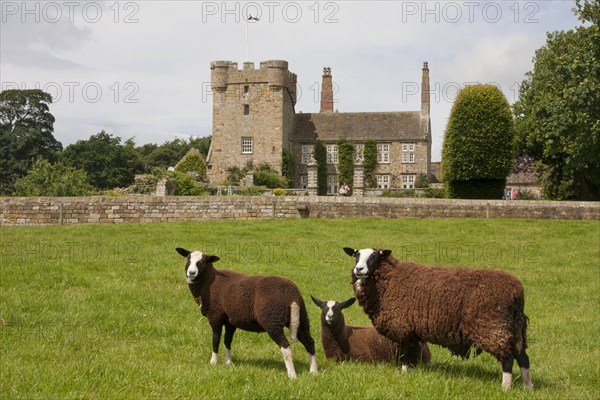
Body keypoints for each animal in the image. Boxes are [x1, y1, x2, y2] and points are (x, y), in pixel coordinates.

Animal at [176, 247, 318, 378]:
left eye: (203, 261)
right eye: (188, 258)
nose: (191, 272)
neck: (209, 282)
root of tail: (292, 295)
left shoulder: (215, 316)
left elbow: (215, 339)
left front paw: (213, 362)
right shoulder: (230, 321)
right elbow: (228, 340)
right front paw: (228, 362)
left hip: (273, 320)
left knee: (286, 347)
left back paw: (292, 375)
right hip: (302, 319)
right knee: (310, 342)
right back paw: (313, 371)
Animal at [344, 247, 532, 390]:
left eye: (374, 257)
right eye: (356, 255)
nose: (358, 270)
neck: (389, 280)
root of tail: (517, 291)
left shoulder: (401, 325)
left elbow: (404, 354)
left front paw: (404, 374)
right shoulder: (411, 329)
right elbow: (411, 353)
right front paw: (412, 372)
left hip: (493, 328)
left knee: (508, 359)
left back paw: (505, 388)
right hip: (514, 327)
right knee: (523, 357)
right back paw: (527, 387)